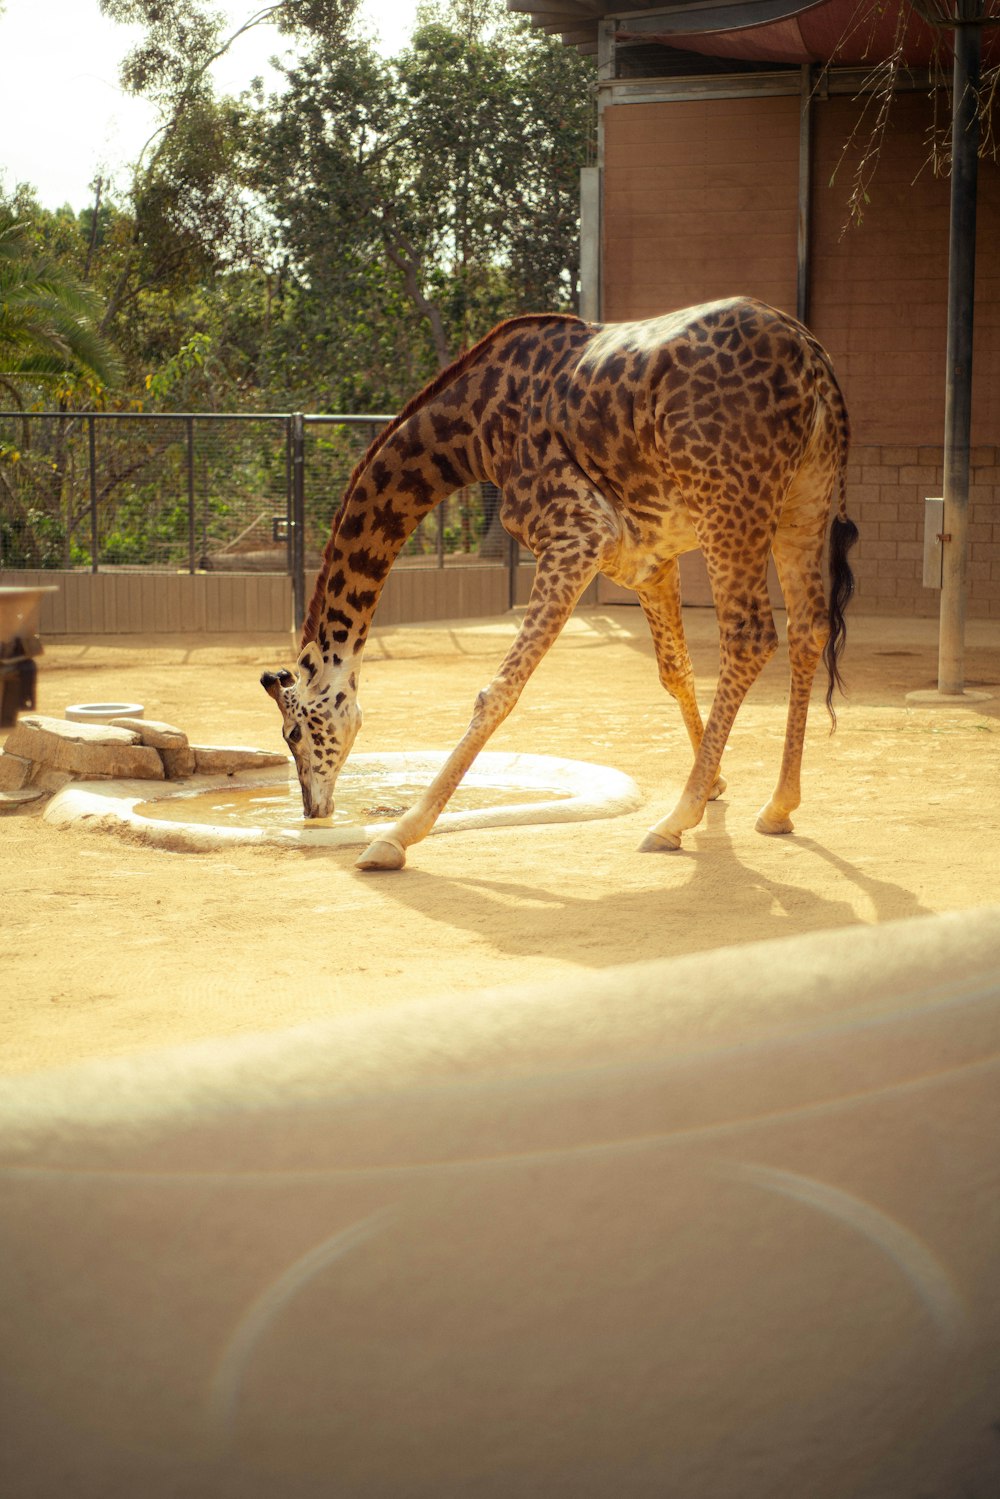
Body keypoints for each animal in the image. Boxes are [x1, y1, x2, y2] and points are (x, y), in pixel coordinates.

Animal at [262, 293, 857, 875]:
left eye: (293, 732)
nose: (313, 808)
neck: (476, 431)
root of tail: (815, 361)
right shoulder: (646, 559)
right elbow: (675, 671)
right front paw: (714, 783)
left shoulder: (577, 534)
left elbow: (498, 690)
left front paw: (396, 837)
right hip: (802, 501)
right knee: (808, 629)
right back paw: (778, 807)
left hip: (730, 502)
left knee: (752, 635)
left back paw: (672, 821)